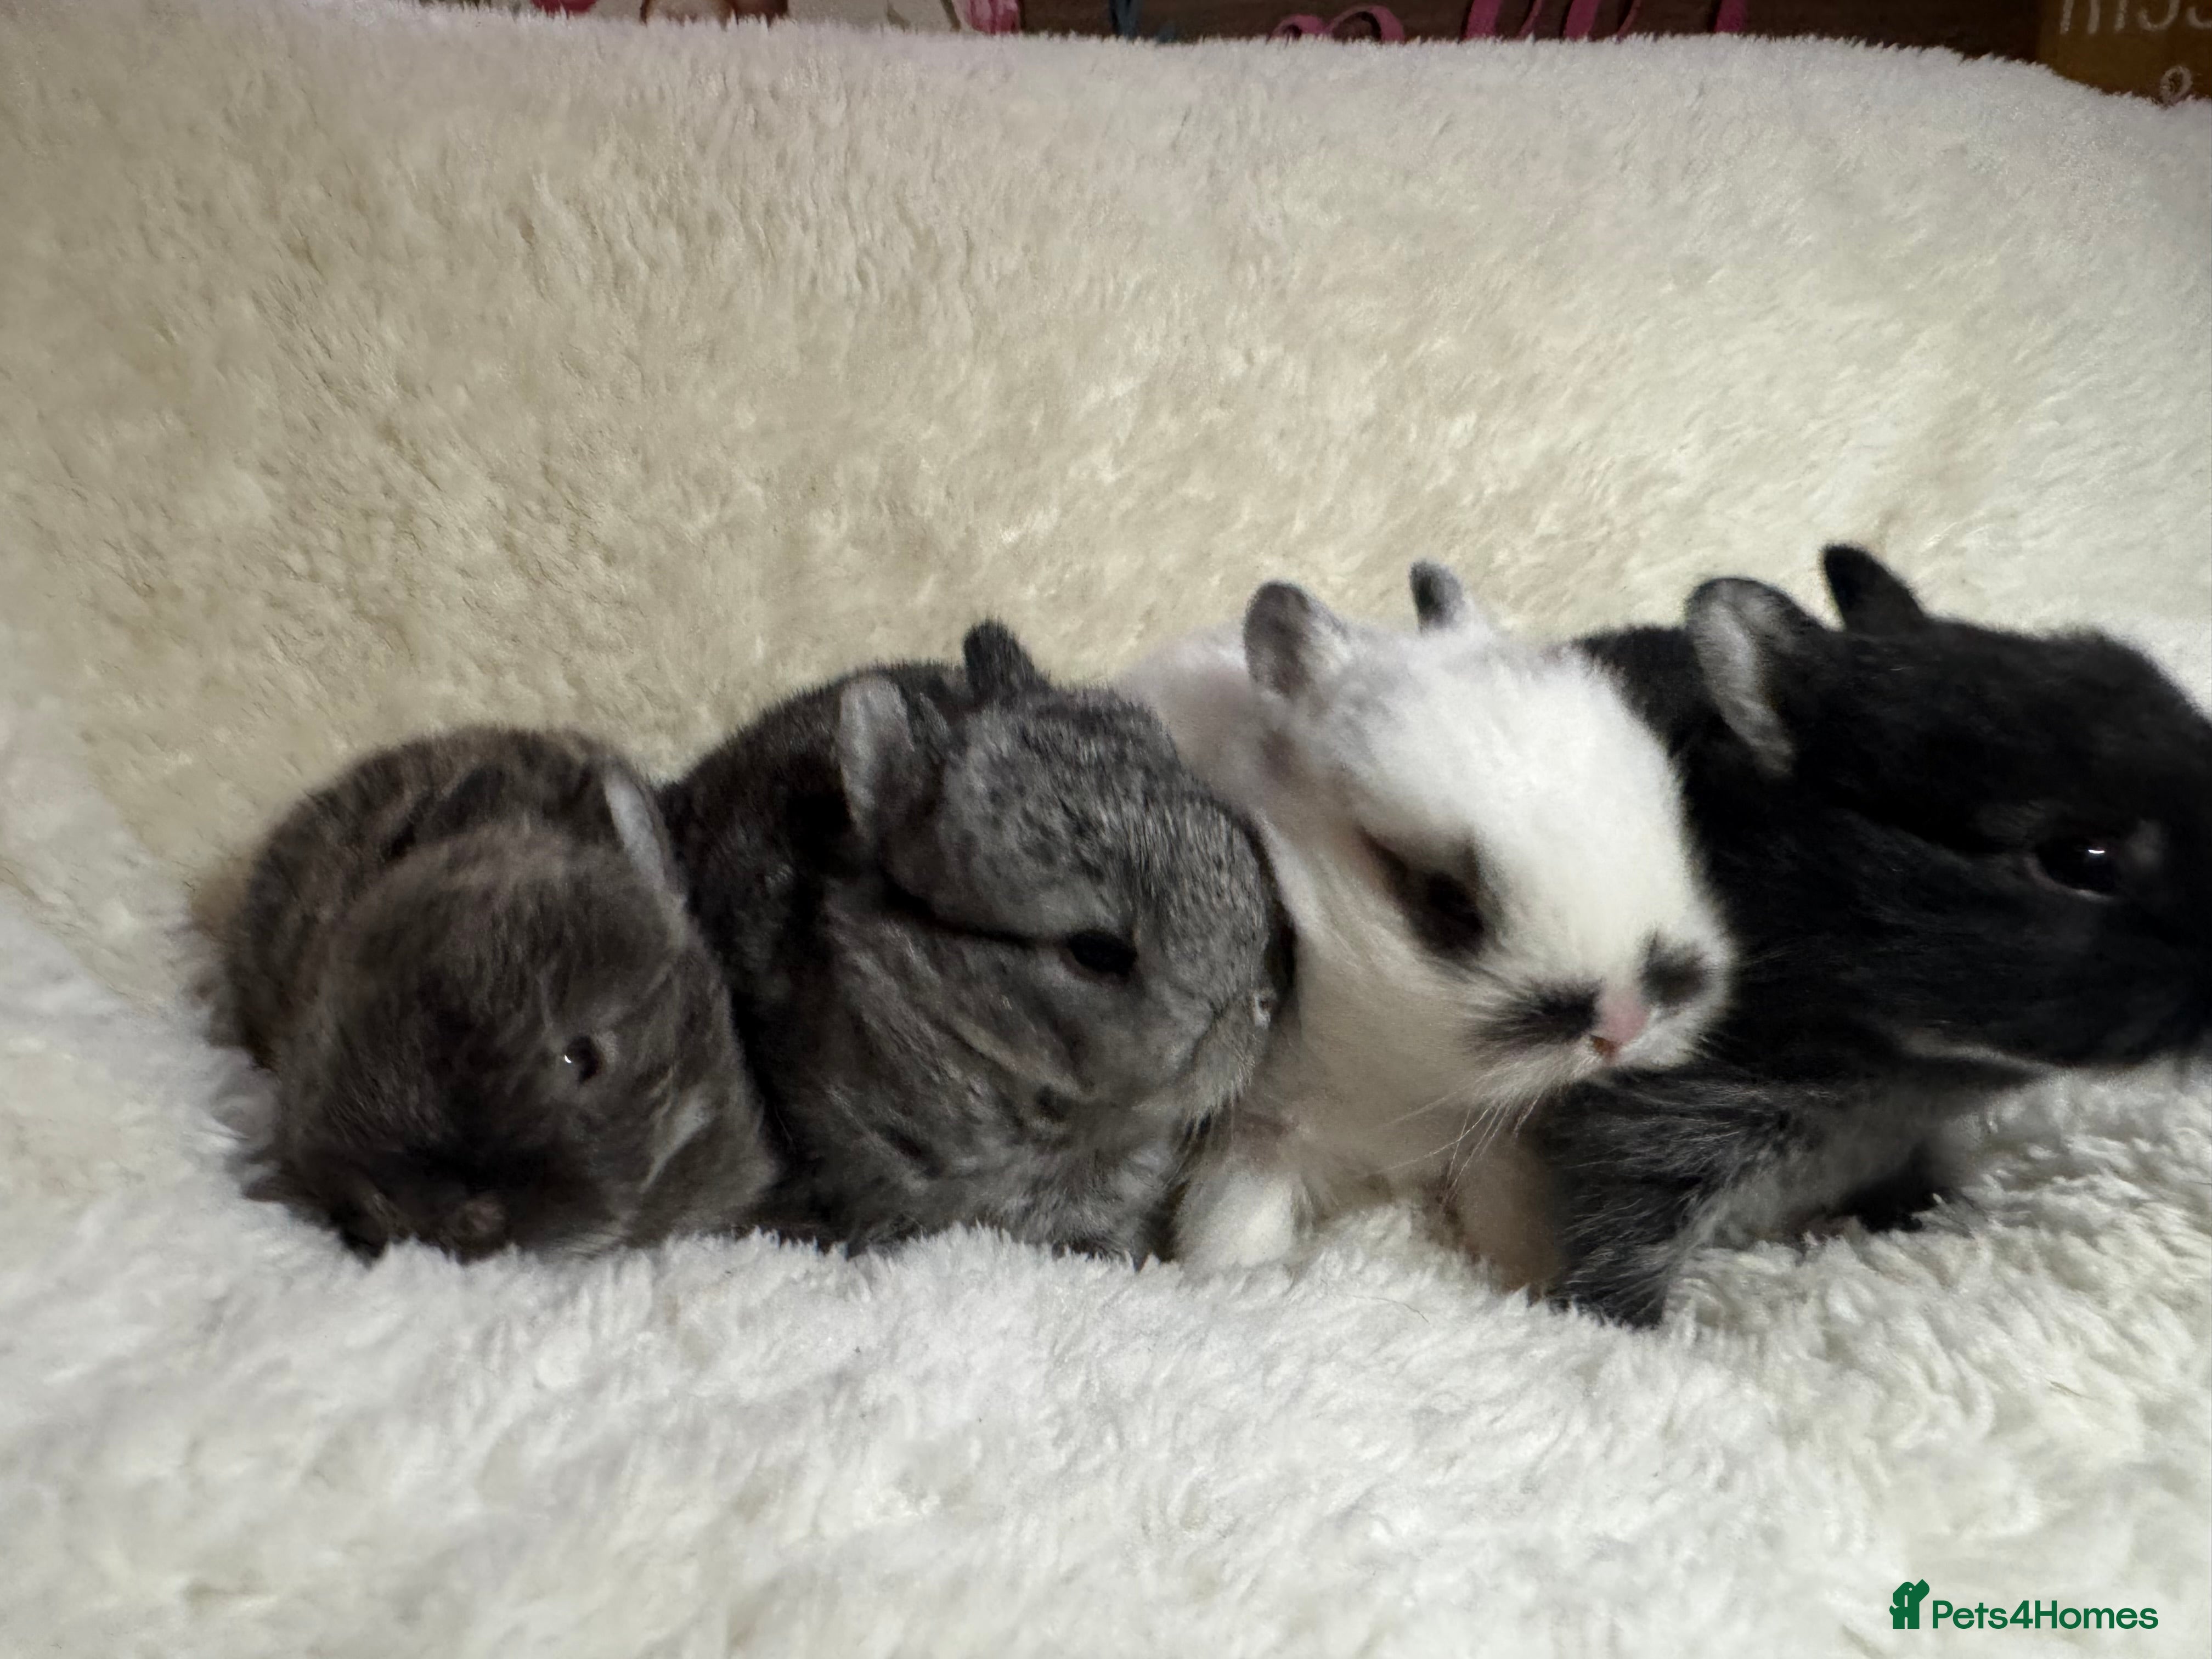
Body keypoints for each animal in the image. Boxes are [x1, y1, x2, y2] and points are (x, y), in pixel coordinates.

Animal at [1120, 565, 1733, 1283]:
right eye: (1447, 903)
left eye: (1675, 830)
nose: (1626, 1027)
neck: (1401, 1082)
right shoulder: (1254, 1141)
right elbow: (1232, 1234)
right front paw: (1229, 1281)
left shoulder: (1501, 1148)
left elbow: (1517, 1227)